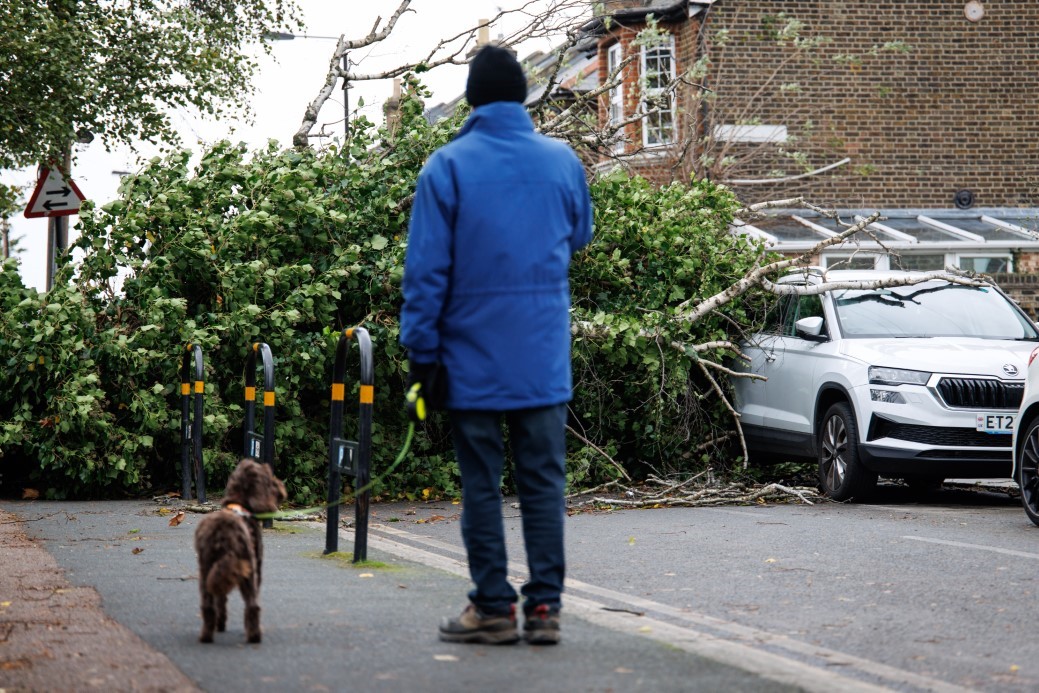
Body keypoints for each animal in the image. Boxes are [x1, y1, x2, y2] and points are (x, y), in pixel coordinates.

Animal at [193, 457, 284, 644]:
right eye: (269, 478)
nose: (281, 488)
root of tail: (222, 536)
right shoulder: (256, 564)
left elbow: (221, 599)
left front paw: (221, 624)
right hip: (247, 569)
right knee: (252, 605)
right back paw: (254, 636)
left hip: (206, 571)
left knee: (208, 606)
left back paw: (207, 635)